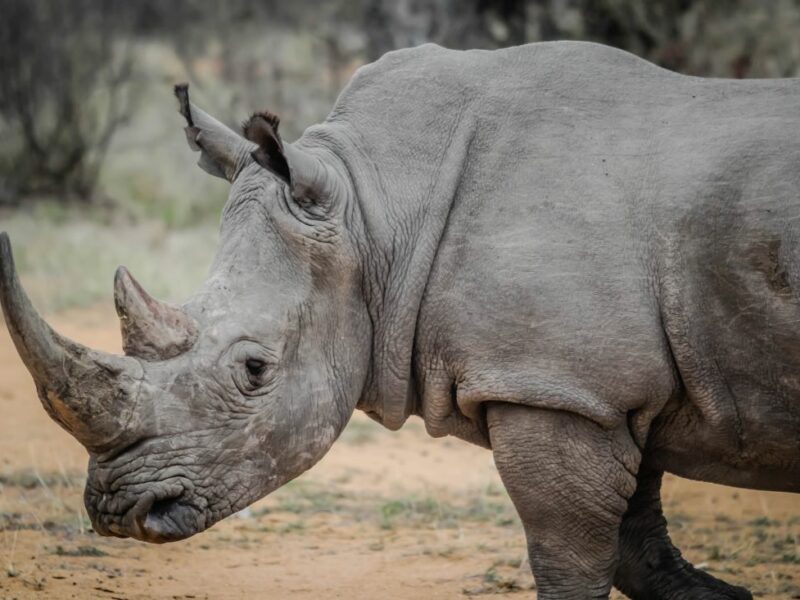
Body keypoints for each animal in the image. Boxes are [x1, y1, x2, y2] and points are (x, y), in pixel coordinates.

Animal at [1, 40, 799, 599]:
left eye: (255, 369)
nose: (119, 511)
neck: (374, 207)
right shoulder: (599, 386)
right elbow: (637, 544)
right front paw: (726, 597)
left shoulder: (554, 386)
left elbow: (572, 556)